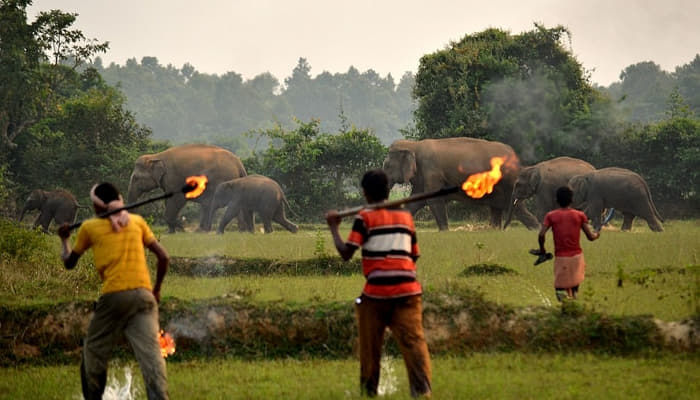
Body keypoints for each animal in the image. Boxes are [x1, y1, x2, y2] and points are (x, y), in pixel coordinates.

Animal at [382, 138, 540, 230]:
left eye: (387, 166)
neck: (414, 145)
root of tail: (516, 158)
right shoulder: (422, 178)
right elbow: (415, 201)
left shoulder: (431, 172)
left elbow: (434, 200)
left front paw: (445, 232)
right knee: (498, 209)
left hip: (509, 184)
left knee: (518, 209)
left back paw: (536, 231)